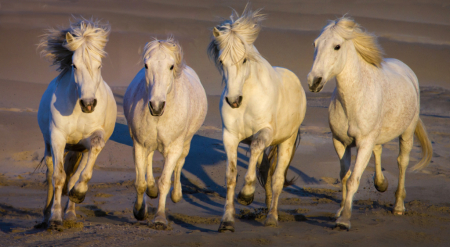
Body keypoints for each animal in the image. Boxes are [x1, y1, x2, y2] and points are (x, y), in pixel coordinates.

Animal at [37, 18, 117, 228]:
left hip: (80, 150)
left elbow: (78, 176)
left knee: (73, 176)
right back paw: (46, 214)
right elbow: (58, 177)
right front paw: (55, 218)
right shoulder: (58, 138)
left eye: (99, 65)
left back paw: (71, 213)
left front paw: (78, 195)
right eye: (74, 65)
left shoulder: (93, 139)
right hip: (50, 145)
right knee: (50, 173)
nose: (88, 104)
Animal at [123, 37, 207, 228]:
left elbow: (164, 182)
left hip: (185, 143)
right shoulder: (139, 144)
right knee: (148, 162)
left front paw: (160, 218)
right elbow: (140, 183)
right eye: (146, 65)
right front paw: (139, 211)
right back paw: (151, 190)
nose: (156, 106)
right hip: (147, 144)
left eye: (171, 66)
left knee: (179, 164)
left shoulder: (174, 148)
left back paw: (177, 194)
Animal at [209, 7, 308, 232]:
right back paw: (267, 207)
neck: (247, 99)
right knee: (267, 173)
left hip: (286, 141)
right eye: (221, 61)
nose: (233, 101)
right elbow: (231, 175)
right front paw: (227, 221)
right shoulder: (230, 136)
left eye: (244, 60)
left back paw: (271, 217)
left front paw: (246, 195)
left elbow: (254, 152)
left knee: (278, 178)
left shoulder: (264, 133)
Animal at [308, 17, 434, 230]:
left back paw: (398, 206)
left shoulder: (364, 143)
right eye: (315, 44)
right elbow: (344, 177)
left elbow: (353, 180)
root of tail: (406, 70)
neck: (353, 100)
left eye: (337, 46)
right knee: (379, 150)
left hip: (407, 133)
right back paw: (381, 184)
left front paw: (344, 220)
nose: (313, 82)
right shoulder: (340, 142)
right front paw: (340, 211)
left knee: (402, 162)